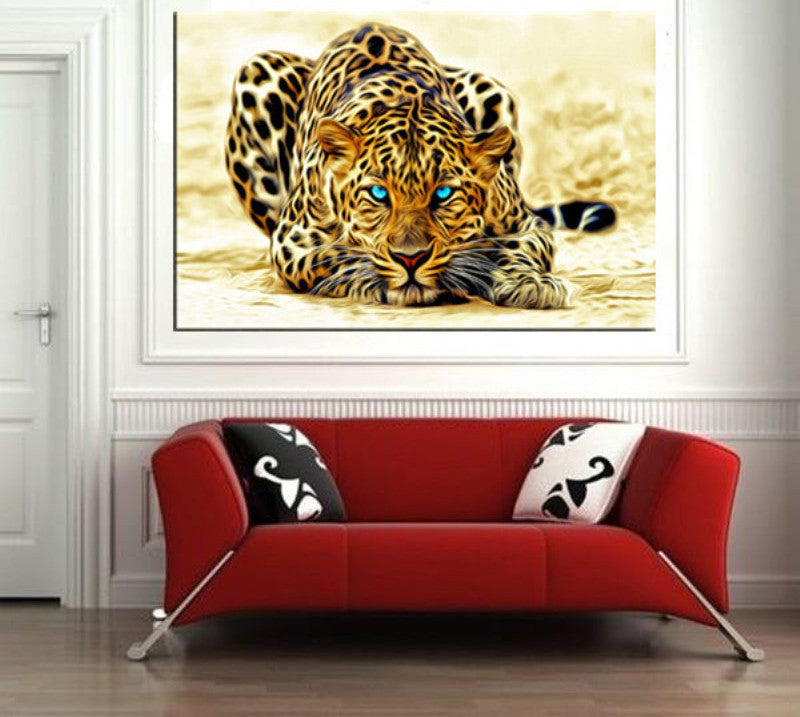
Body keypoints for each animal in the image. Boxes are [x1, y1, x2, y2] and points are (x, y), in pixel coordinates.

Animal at [224, 22, 616, 309]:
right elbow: (335, 255)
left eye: (443, 193)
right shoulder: (292, 240)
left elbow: (520, 249)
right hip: (257, 72)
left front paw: (529, 282)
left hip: (492, 89)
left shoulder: (526, 225)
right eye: (378, 193)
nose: (410, 259)